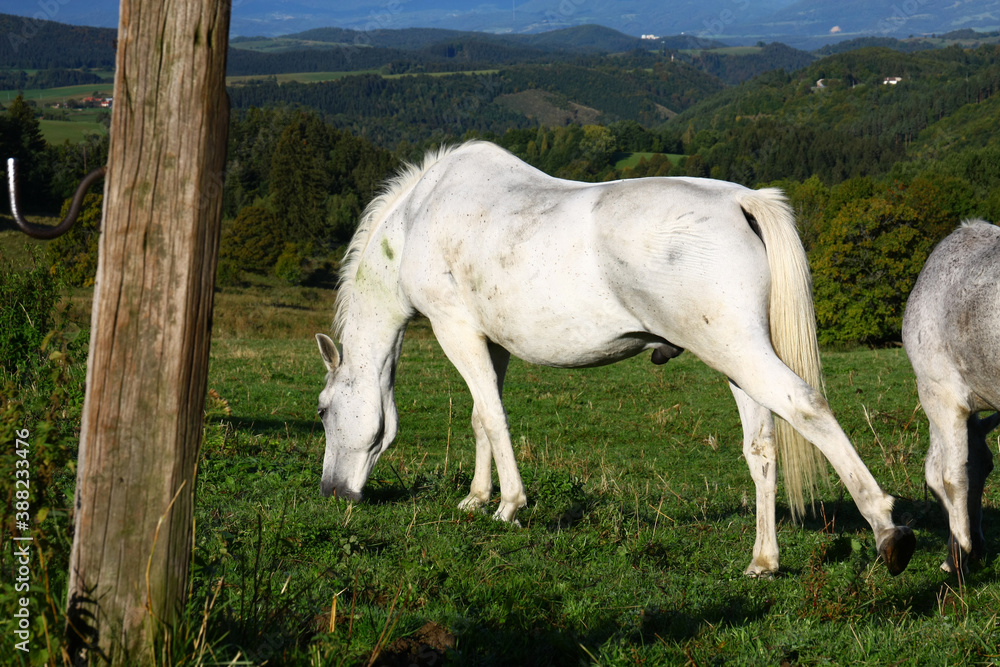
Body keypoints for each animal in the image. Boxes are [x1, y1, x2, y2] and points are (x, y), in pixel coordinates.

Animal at [315, 141, 915, 577]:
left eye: (322, 411)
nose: (332, 493)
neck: (419, 216)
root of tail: (741, 201)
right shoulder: (492, 343)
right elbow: (481, 417)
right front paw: (476, 498)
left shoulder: (454, 330)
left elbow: (493, 417)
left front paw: (508, 505)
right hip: (737, 363)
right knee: (761, 447)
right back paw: (763, 561)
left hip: (740, 353)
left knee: (808, 407)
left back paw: (886, 529)